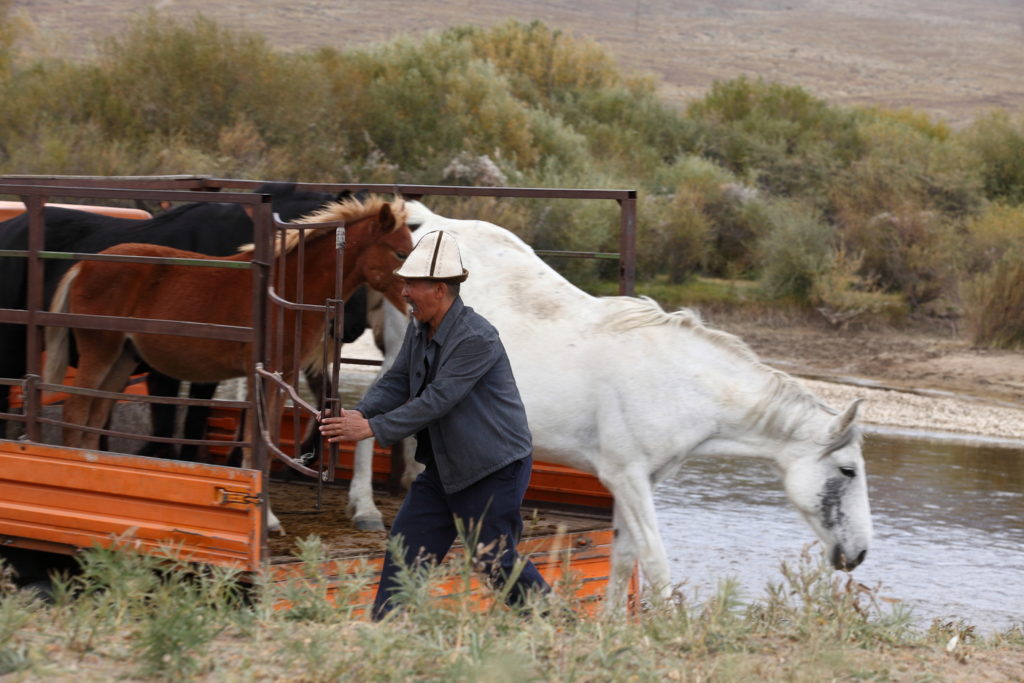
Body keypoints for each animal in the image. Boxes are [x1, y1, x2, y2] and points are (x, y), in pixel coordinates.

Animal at [43, 197, 411, 532]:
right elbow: (256, 442)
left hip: (122, 357)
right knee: (76, 411)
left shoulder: (283, 375)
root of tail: (83, 266)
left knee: (95, 415)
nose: (411, 307)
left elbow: (267, 441)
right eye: (400, 253)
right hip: (100, 350)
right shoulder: (262, 375)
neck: (287, 291)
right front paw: (268, 520)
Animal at [399, 200, 872, 606]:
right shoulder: (626, 477)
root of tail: (427, 221)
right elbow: (656, 564)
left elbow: (623, 561)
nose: (861, 553)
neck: (679, 384)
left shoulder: (639, 482)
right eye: (847, 471)